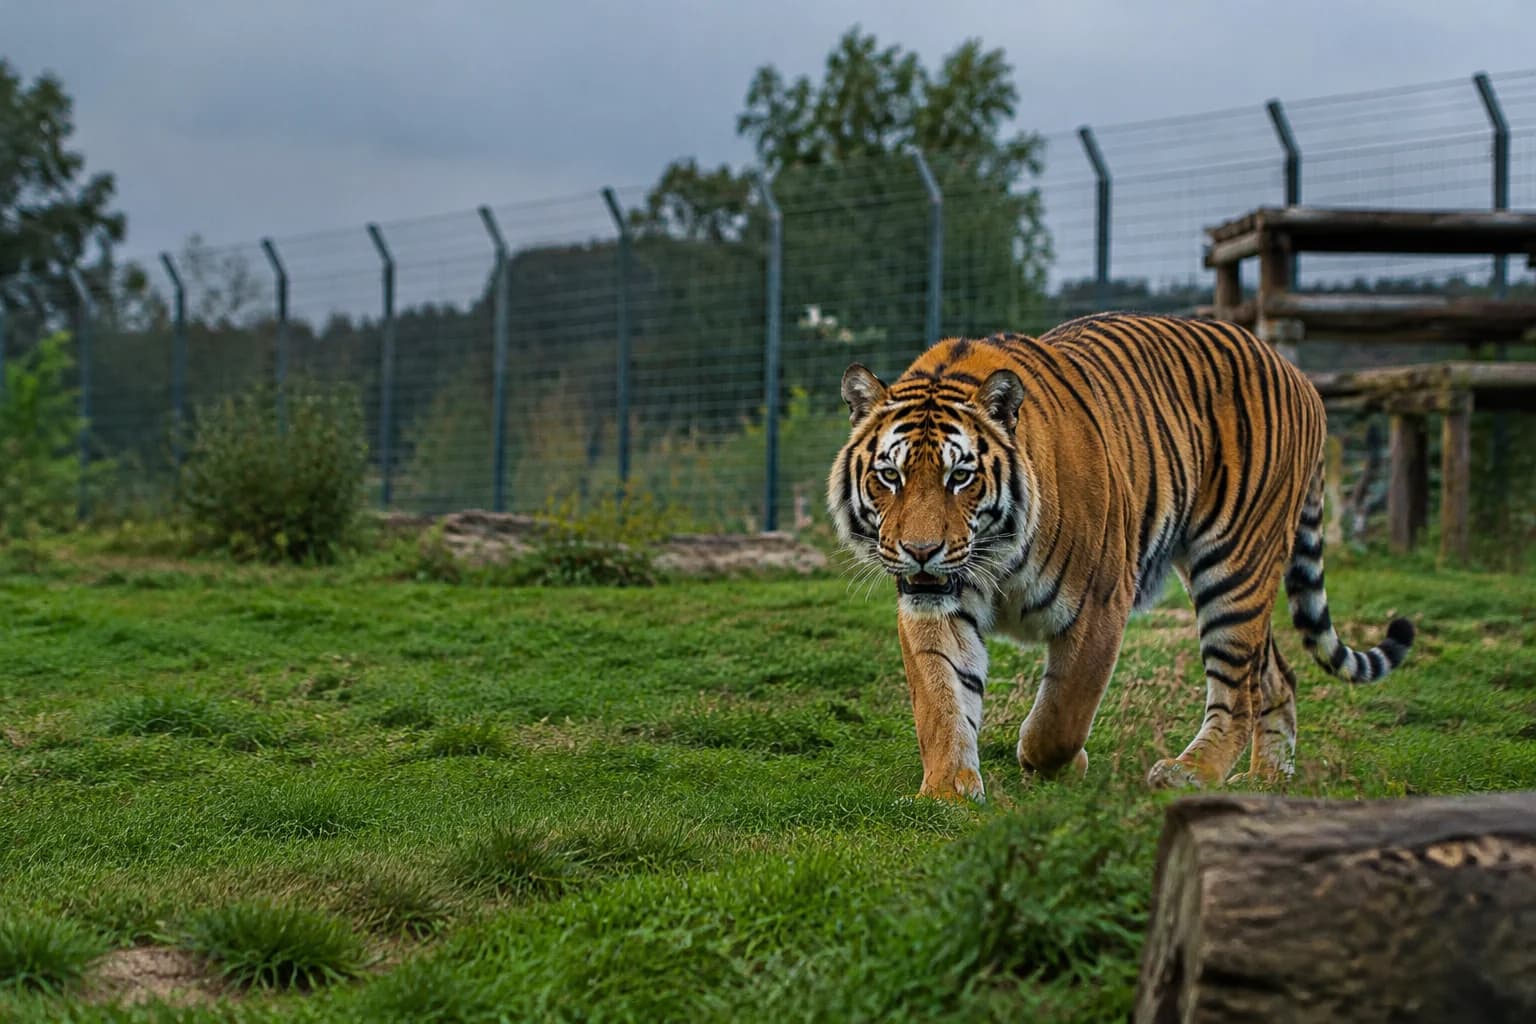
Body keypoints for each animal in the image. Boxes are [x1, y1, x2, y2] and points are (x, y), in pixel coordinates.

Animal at [826, 312, 1415, 799]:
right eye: (890, 476)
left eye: (960, 476)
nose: (920, 552)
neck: (996, 559)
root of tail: (1300, 375)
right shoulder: (938, 605)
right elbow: (941, 697)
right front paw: (948, 790)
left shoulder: (1100, 603)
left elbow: (1063, 716)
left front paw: (1050, 763)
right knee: (1275, 676)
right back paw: (1268, 778)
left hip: (1235, 566)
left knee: (1238, 692)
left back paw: (1190, 772)